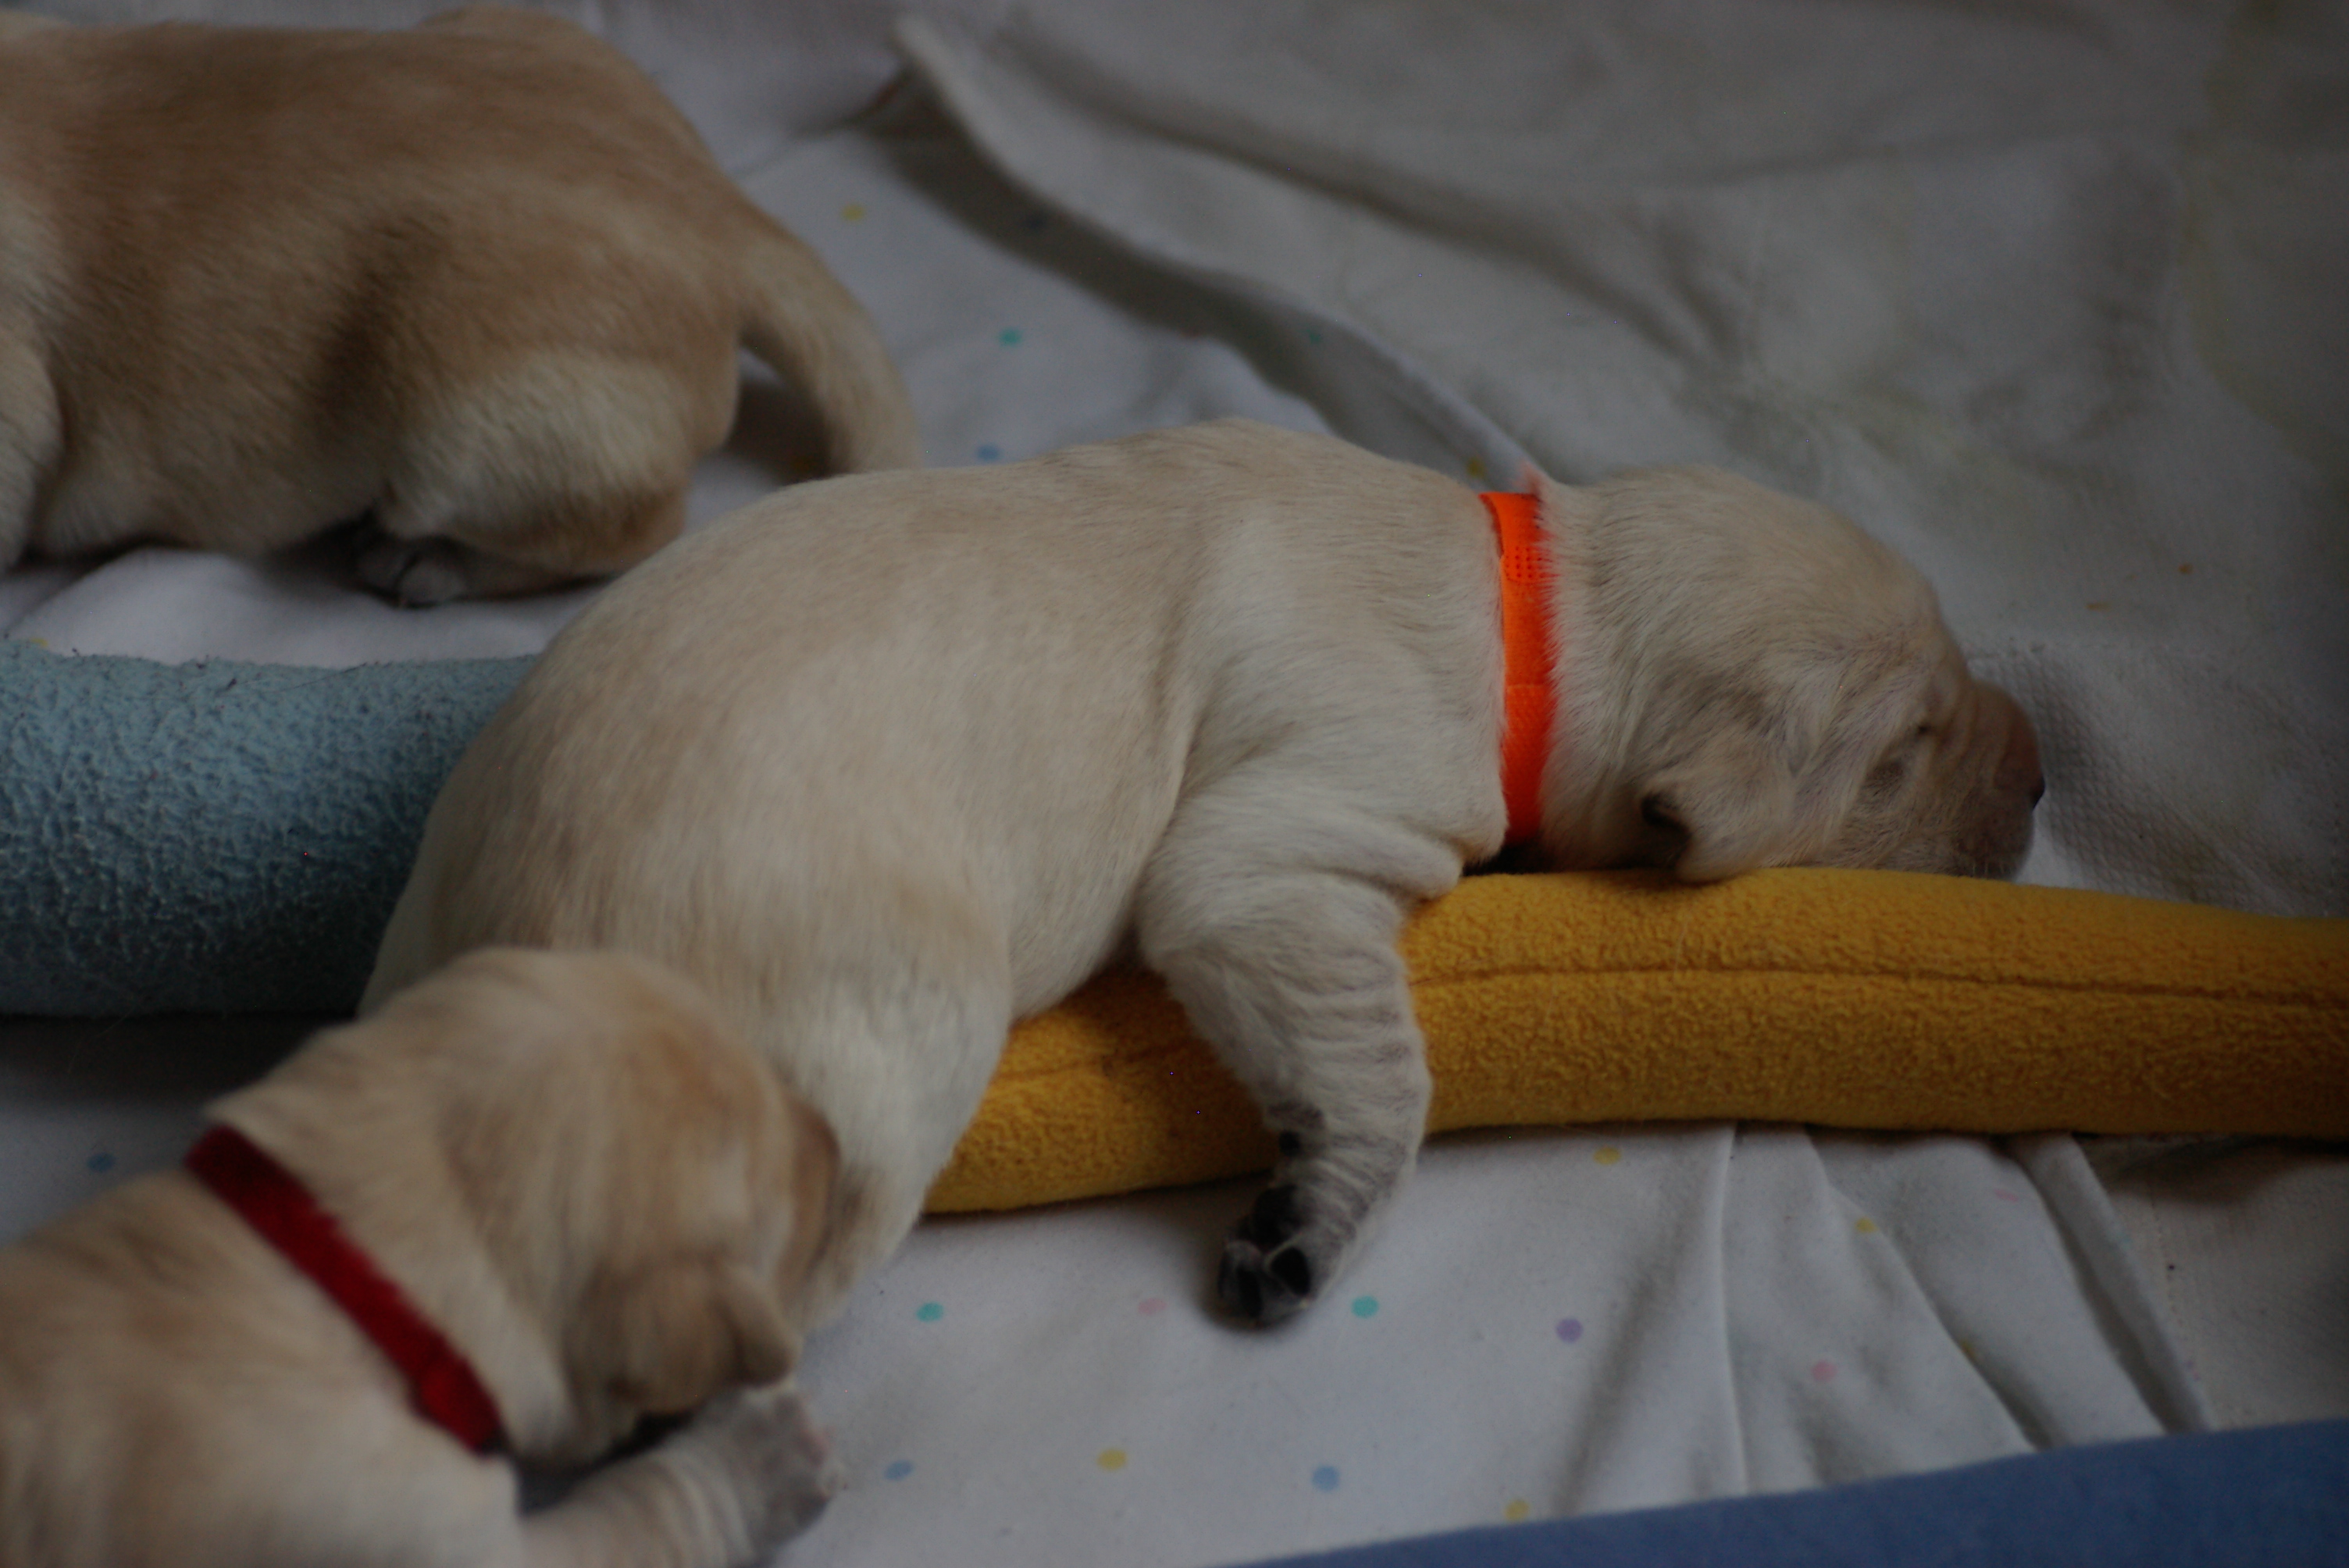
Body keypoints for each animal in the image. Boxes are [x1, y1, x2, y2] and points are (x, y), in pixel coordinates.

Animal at [0, 948, 842, 1568]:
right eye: (783, 1205)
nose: (837, 1142)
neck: (346, 1261)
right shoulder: (428, 1531)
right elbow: (646, 1513)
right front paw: (758, 1457)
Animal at [365, 418, 2044, 1331]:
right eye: (1908, 743)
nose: (2046, 775)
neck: (1541, 607)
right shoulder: (1298, 830)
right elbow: (1374, 1061)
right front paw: (1305, 1222)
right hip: (878, 1024)